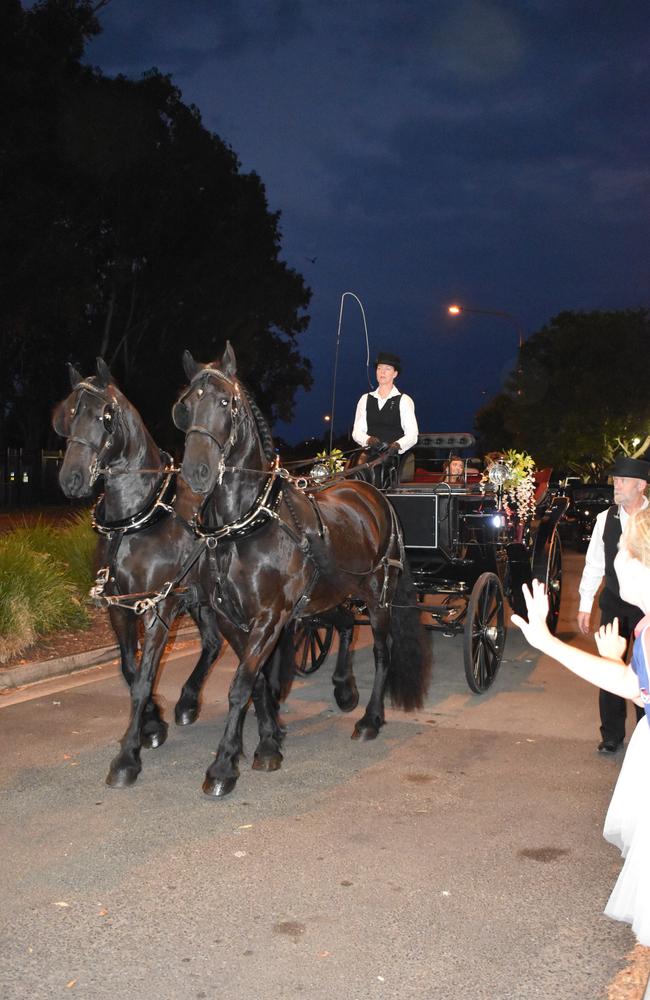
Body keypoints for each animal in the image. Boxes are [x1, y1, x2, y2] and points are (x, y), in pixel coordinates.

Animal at [54, 360, 288, 788]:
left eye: (106, 415)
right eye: (71, 413)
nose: (72, 478)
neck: (137, 519)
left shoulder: (157, 607)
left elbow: (146, 676)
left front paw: (127, 757)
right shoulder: (120, 607)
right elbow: (130, 670)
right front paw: (151, 724)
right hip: (202, 601)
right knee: (214, 644)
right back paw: (191, 703)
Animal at [171, 344, 430, 796]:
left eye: (226, 403)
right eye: (186, 406)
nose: (196, 473)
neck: (245, 526)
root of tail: (372, 491)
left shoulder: (269, 616)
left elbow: (240, 685)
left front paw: (223, 765)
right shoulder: (231, 619)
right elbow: (256, 680)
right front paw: (269, 741)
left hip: (378, 596)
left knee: (383, 651)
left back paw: (370, 719)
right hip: (332, 593)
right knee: (344, 625)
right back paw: (344, 689)